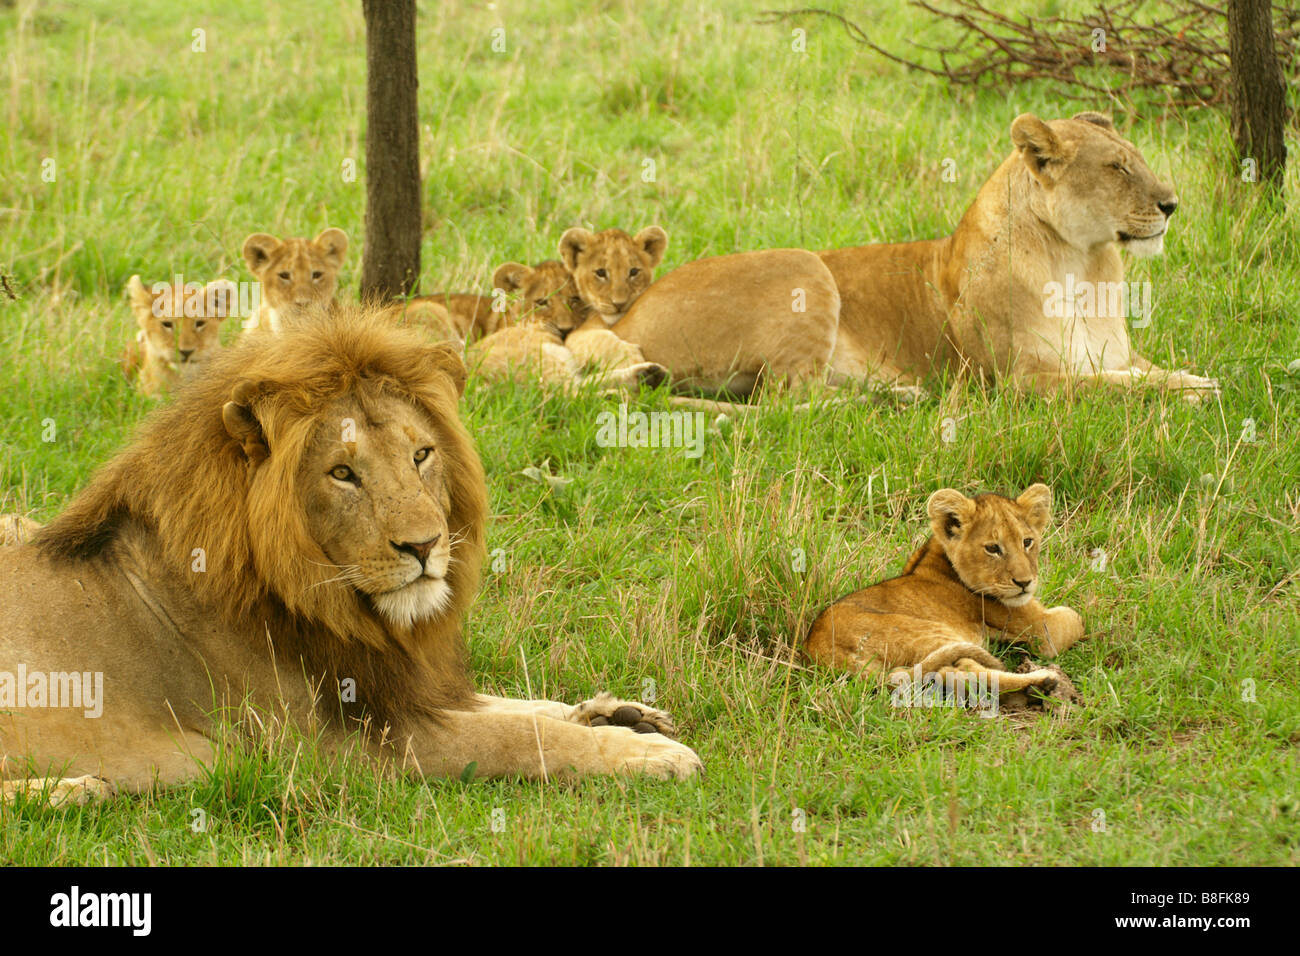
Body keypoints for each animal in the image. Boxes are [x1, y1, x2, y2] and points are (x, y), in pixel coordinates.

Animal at [0, 308, 700, 807]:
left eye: (421, 454)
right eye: (343, 473)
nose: (424, 546)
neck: (336, 605)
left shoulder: (395, 688)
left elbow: (518, 705)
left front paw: (620, 713)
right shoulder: (338, 750)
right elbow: (520, 735)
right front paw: (647, 757)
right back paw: (70, 792)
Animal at [804, 484, 1087, 700]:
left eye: (1027, 542)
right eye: (993, 548)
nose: (1024, 582)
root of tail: (819, 649)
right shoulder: (1043, 631)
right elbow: (1077, 619)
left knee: (953, 673)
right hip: (930, 631)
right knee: (966, 669)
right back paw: (1043, 680)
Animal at [819, 112, 1219, 398]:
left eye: (1139, 159)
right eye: (1117, 167)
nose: (1172, 205)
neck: (1077, 264)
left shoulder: (1119, 354)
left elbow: (1149, 369)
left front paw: (1190, 378)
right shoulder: (1019, 379)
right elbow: (1106, 383)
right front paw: (1194, 388)